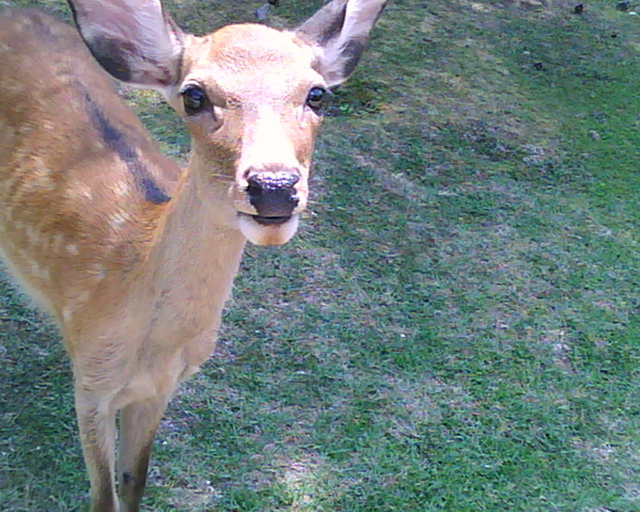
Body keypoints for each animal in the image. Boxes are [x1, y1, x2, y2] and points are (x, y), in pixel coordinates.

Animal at [0, 0, 384, 510]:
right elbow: (104, 496)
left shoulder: (161, 389)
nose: (274, 187)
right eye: (194, 95)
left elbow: (135, 483)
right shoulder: (90, 381)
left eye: (317, 94)